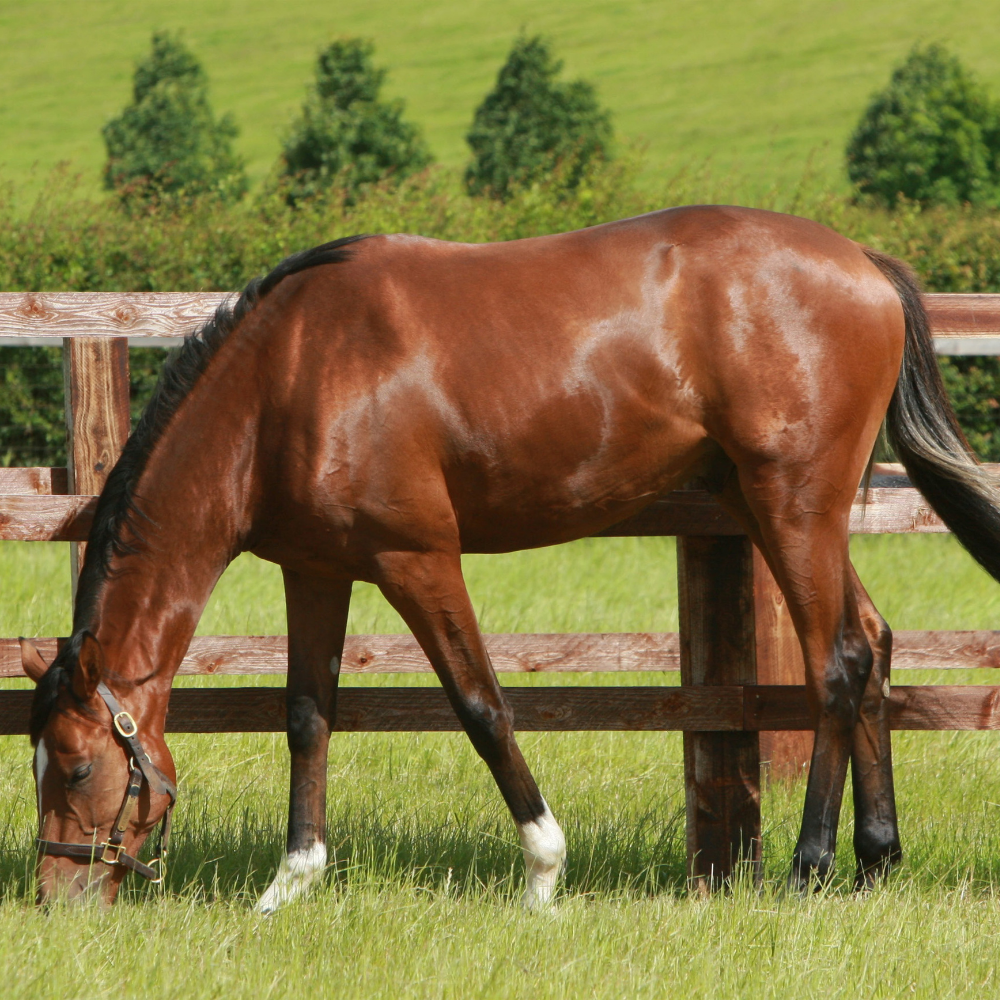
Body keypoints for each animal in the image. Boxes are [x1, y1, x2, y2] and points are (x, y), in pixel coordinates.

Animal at [20, 205, 1000, 908]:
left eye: (75, 766)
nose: (56, 894)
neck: (290, 379)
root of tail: (864, 264)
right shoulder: (318, 569)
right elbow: (306, 715)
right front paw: (289, 884)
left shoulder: (418, 559)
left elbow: (481, 706)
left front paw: (543, 872)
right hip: (776, 510)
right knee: (872, 643)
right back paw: (876, 860)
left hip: (793, 506)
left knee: (835, 663)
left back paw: (810, 867)